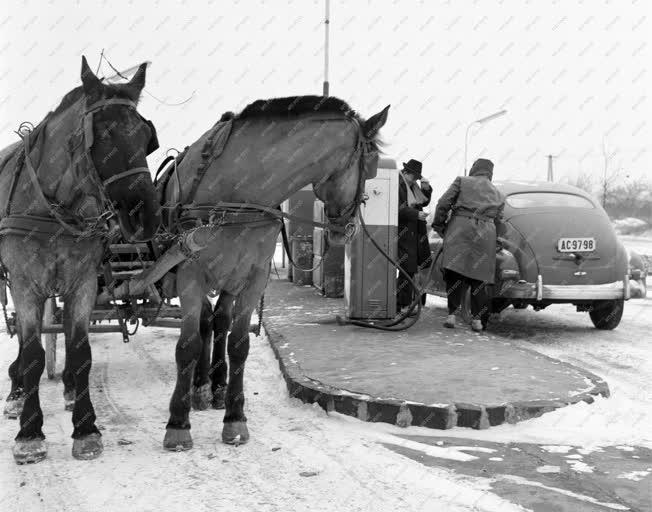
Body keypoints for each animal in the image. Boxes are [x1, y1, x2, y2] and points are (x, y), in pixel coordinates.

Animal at [0, 57, 162, 464]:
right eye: (101, 135)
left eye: (145, 137)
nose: (146, 216)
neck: (56, 208)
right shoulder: (25, 284)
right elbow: (33, 354)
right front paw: (29, 433)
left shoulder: (83, 283)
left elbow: (81, 352)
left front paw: (86, 428)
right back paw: (16, 393)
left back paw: (70, 389)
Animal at [152, 95, 388, 448]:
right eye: (370, 166)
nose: (347, 230)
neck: (237, 196)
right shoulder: (190, 272)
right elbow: (187, 345)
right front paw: (178, 423)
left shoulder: (254, 276)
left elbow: (238, 344)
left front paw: (234, 418)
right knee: (207, 321)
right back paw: (200, 386)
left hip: (230, 278)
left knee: (219, 321)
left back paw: (215, 387)